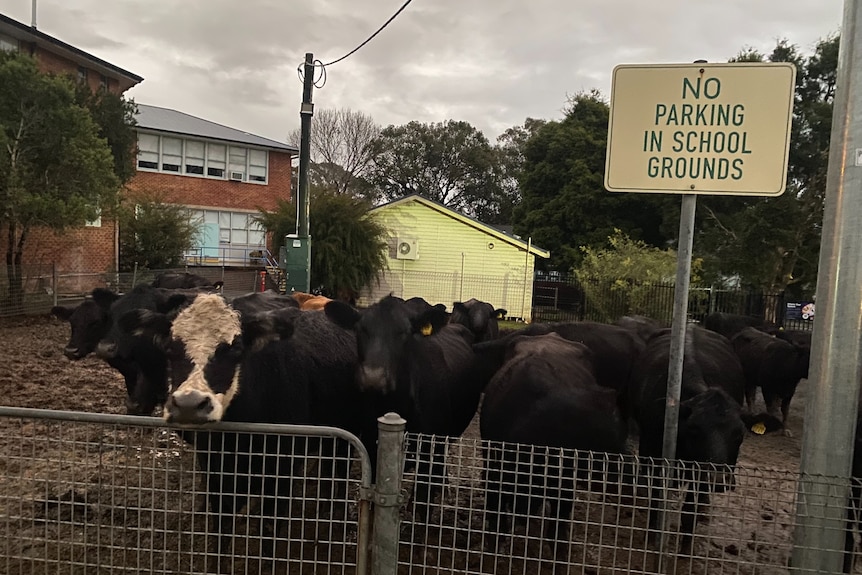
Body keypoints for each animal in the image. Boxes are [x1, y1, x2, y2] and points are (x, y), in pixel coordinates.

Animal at [326, 294, 482, 506]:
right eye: (360, 329)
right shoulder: (370, 445)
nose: (373, 377)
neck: (396, 405)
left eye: (404, 332)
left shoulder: (429, 446)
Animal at [632, 324, 744, 548]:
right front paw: (651, 535)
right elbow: (656, 499)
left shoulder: (698, 475)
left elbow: (689, 511)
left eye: (739, 434)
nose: (718, 479)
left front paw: (685, 547)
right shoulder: (655, 457)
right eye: (694, 429)